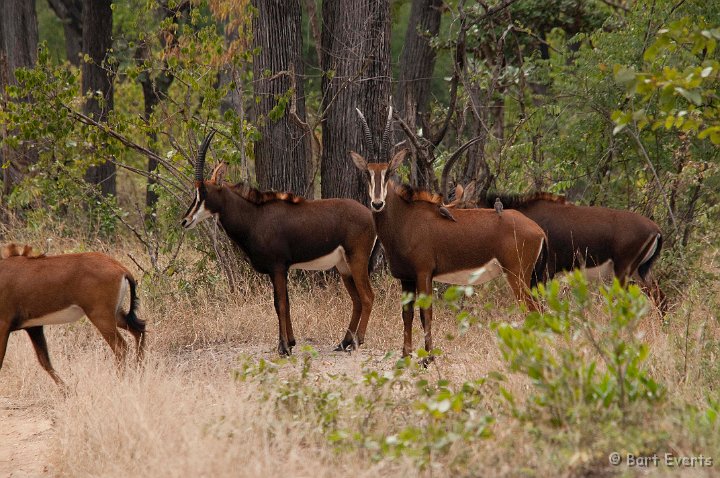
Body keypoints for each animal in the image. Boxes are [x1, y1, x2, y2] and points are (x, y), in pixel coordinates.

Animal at [0, 245, 145, 386]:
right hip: (115, 314)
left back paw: (119, 382)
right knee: (139, 329)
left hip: (101, 316)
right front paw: (68, 391)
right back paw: (139, 374)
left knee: (121, 347)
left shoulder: (4, 325)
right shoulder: (33, 327)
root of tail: (121, 269)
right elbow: (45, 363)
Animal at [180, 131, 376, 354]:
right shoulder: (280, 270)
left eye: (203, 192)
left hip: (357, 259)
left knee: (367, 297)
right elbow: (285, 303)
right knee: (357, 300)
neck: (254, 216)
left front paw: (284, 347)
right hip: (344, 267)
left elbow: (280, 304)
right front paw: (290, 342)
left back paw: (357, 341)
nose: (185, 220)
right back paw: (344, 342)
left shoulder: (278, 268)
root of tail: (370, 214)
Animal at [352, 109, 548, 358]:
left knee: (534, 310)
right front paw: (406, 355)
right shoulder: (406, 278)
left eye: (388, 173)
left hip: (517, 275)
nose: (377, 204)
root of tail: (539, 231)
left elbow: (426, 314)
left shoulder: (424, 273)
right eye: (368, 173)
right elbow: (407, 315)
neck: (405, 219)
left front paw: (429, 357)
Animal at [448, 182, 668, 310]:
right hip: (640, 272)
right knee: (660, 297)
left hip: (624, 272)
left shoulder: (545, 272)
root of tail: (656, 229)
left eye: (462, 207)